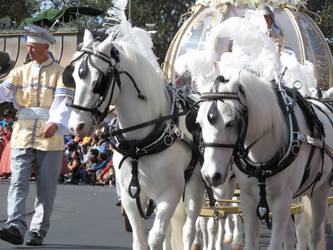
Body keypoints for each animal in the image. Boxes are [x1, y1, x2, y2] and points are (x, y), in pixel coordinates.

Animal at [66, 29, 204, 250]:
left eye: (98, 81)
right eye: (74, 79)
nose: (75, 127)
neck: (139, 146)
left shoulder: (170, 193)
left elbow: (155, 237)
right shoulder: (130, 196)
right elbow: (140, 240)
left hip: (195, 185)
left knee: (189, 228)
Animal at [196, 71, 330, 250]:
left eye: (231, 123)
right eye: (199, 123)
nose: (210, 175)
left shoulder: (282, 200)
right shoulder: (248, 198)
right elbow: (251, 242)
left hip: (320, 190)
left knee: (314, 234)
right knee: (290, 236)